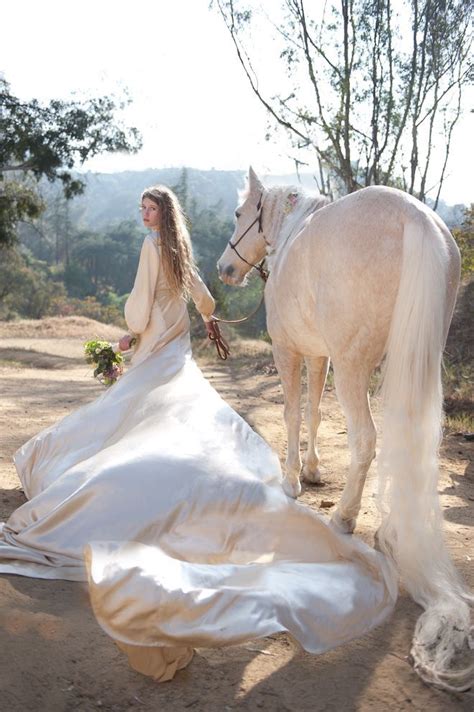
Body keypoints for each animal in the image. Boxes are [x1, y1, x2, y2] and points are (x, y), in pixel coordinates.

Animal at [217, 165, 472, 688]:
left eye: (238, 213)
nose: (224, 270)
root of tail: (415, 220)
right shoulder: (320, 354)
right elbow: (315, 411)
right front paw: (314, 471)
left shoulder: (290, 351)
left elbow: (294, 413)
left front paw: (293, 480)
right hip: (412, 359)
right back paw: (390, 530)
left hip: (356, 366)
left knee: (367, 438)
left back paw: (345, 518)